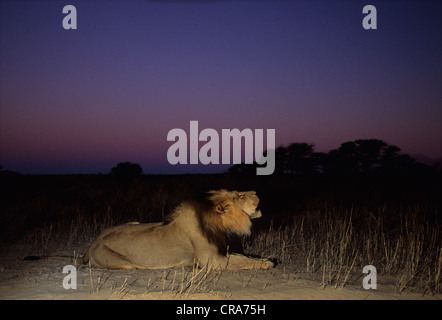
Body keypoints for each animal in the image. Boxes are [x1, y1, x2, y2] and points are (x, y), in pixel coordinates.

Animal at [79, 190, 272, 270]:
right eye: (240, 195)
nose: (255, 191)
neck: (219, 223)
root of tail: (93, 243)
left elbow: (243, 256)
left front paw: (266, 259)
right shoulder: (214, 261)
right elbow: (241, 261)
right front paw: (268, 264)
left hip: (133, 222)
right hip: (123, 263)